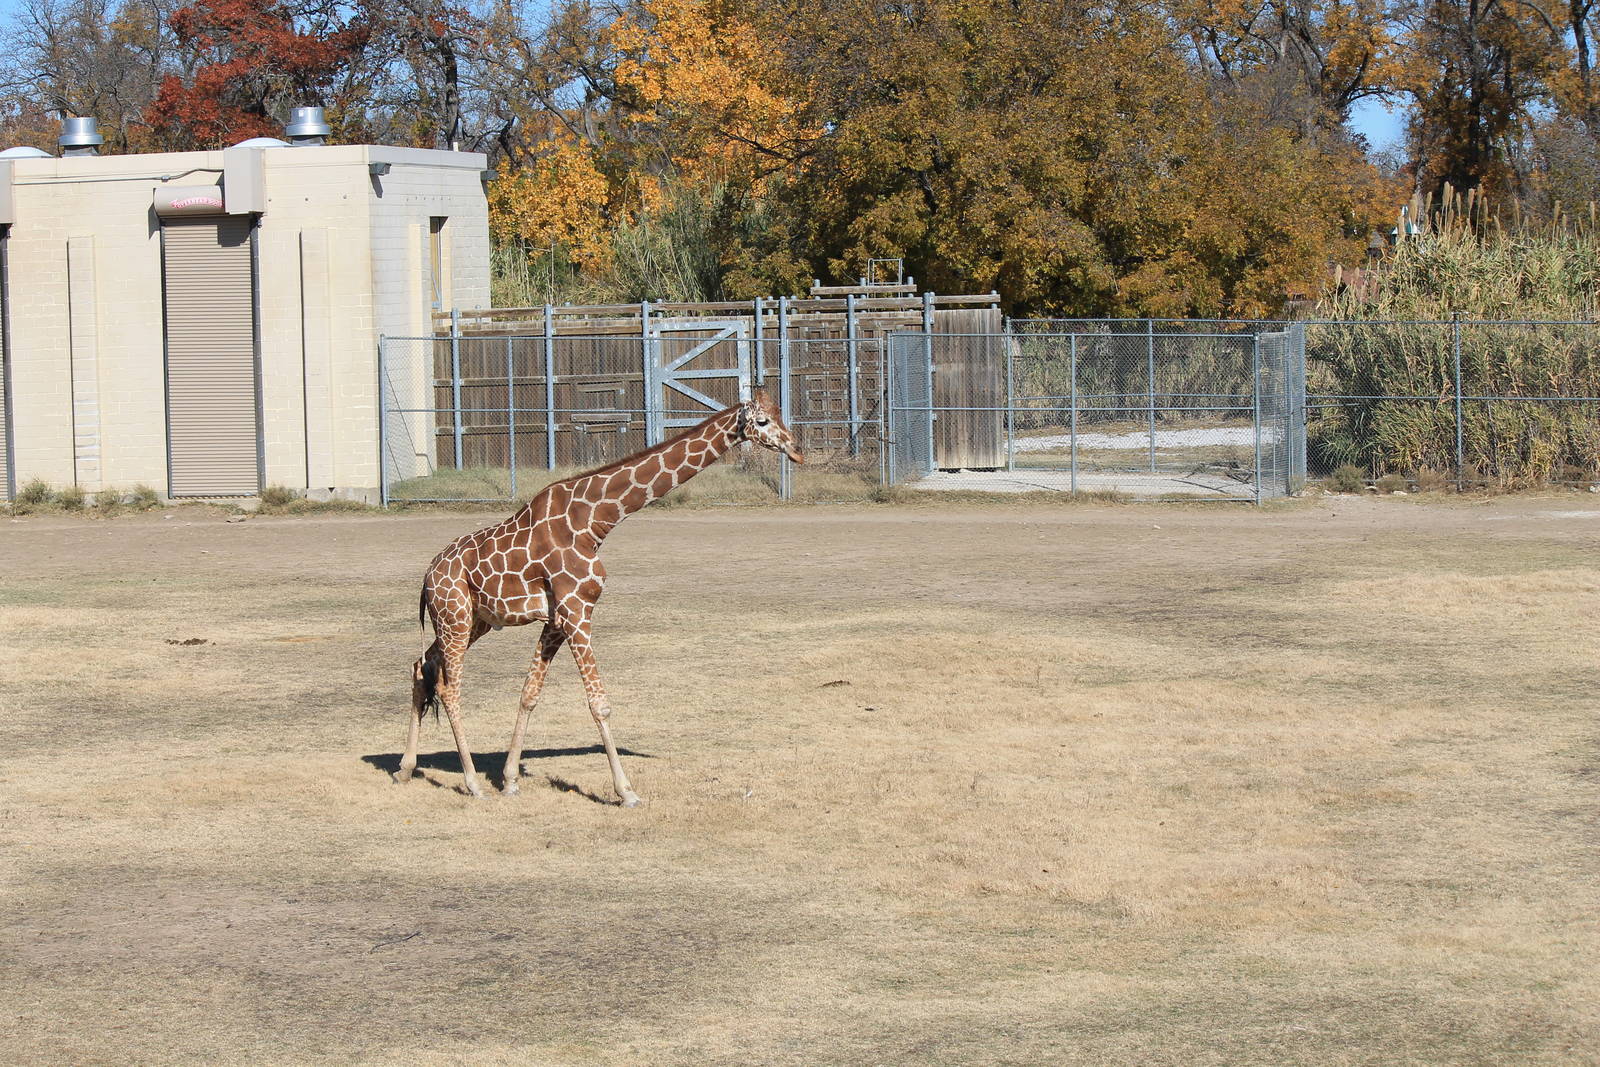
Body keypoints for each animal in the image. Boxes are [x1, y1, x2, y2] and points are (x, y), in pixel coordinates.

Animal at [394, 388, 804, 805]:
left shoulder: (557, 619)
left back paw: (406, 768)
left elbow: (529, 694)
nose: (797, 449)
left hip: (473, 621)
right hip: (455, 617)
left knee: (420, 665)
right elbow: (599, 704)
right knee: (448, 687)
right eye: (763, 421)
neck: (594, 522)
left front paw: (509, 779)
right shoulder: (576, 612)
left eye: (779, 413)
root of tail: (427, 577)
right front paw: (626, 791)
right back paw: (473, 783)